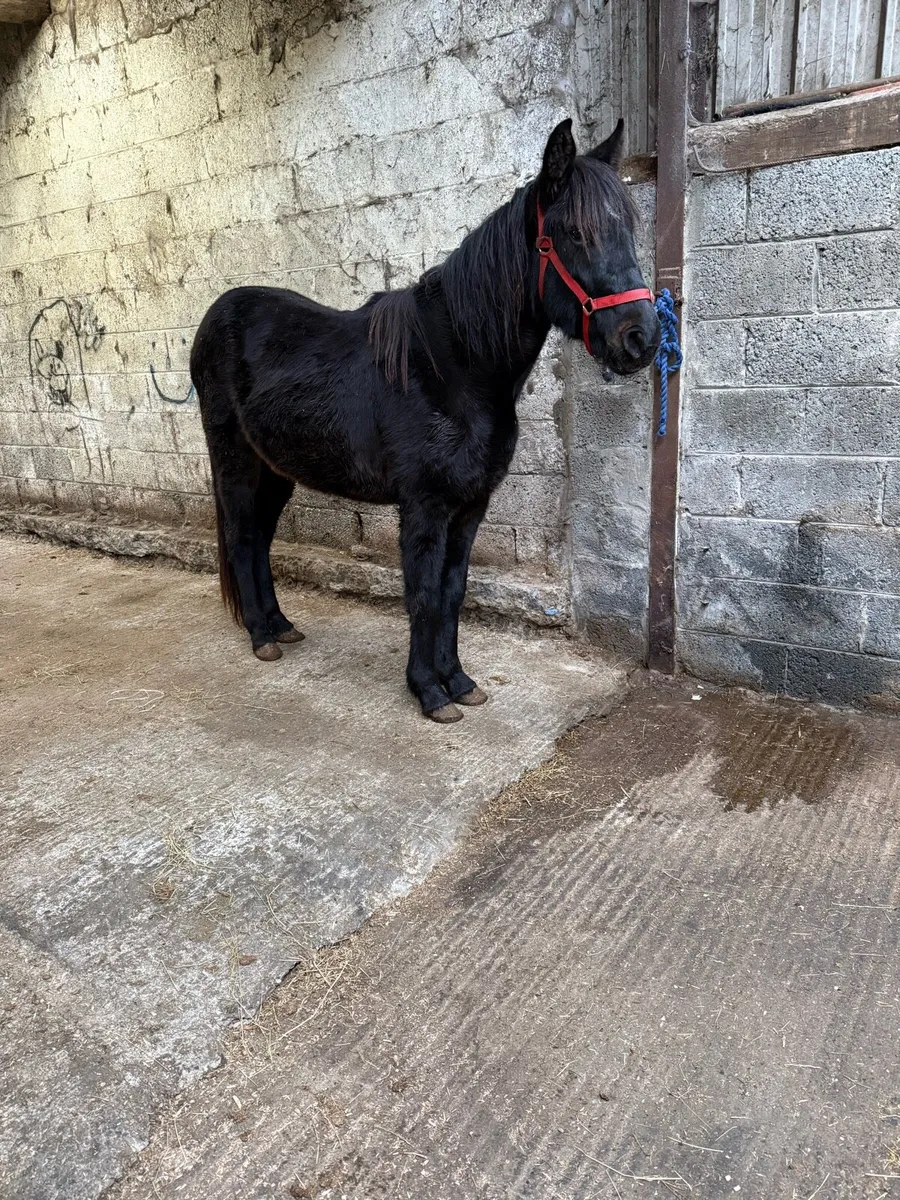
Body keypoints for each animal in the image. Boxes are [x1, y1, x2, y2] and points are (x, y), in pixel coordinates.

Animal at [190, 118, 660, 724]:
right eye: (575, 234)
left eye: (627, 228)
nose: (641, 338)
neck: (453, 366)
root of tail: (214, 318)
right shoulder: (424, 506)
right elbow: (422, 594)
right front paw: (428, 691)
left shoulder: (470, 506)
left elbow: (453, 592)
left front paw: (458, 681)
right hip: (236, 462)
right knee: (243, 535)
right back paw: (259, 636)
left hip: (276, 469)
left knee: (261, 539)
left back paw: (280, 625)